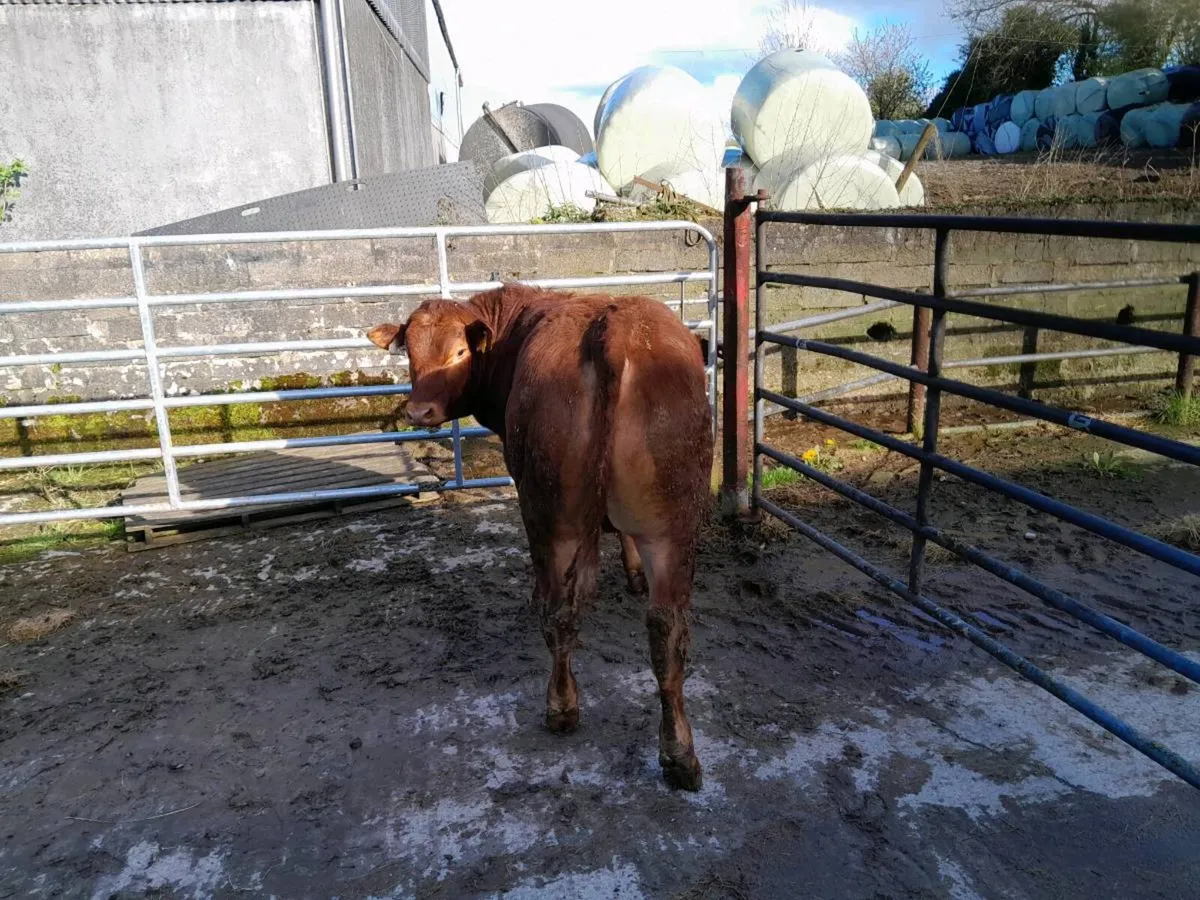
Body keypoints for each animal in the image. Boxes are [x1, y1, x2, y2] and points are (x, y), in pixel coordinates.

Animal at [366, 284, 714, 790]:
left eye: (458, 352)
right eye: (409, 352)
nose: (418, 410)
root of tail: (614, 328)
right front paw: (632, 573)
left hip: (553, 517)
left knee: (559, 613)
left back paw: (562, 707)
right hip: (674, 521)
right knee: (666, 630)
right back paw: (679, 755)